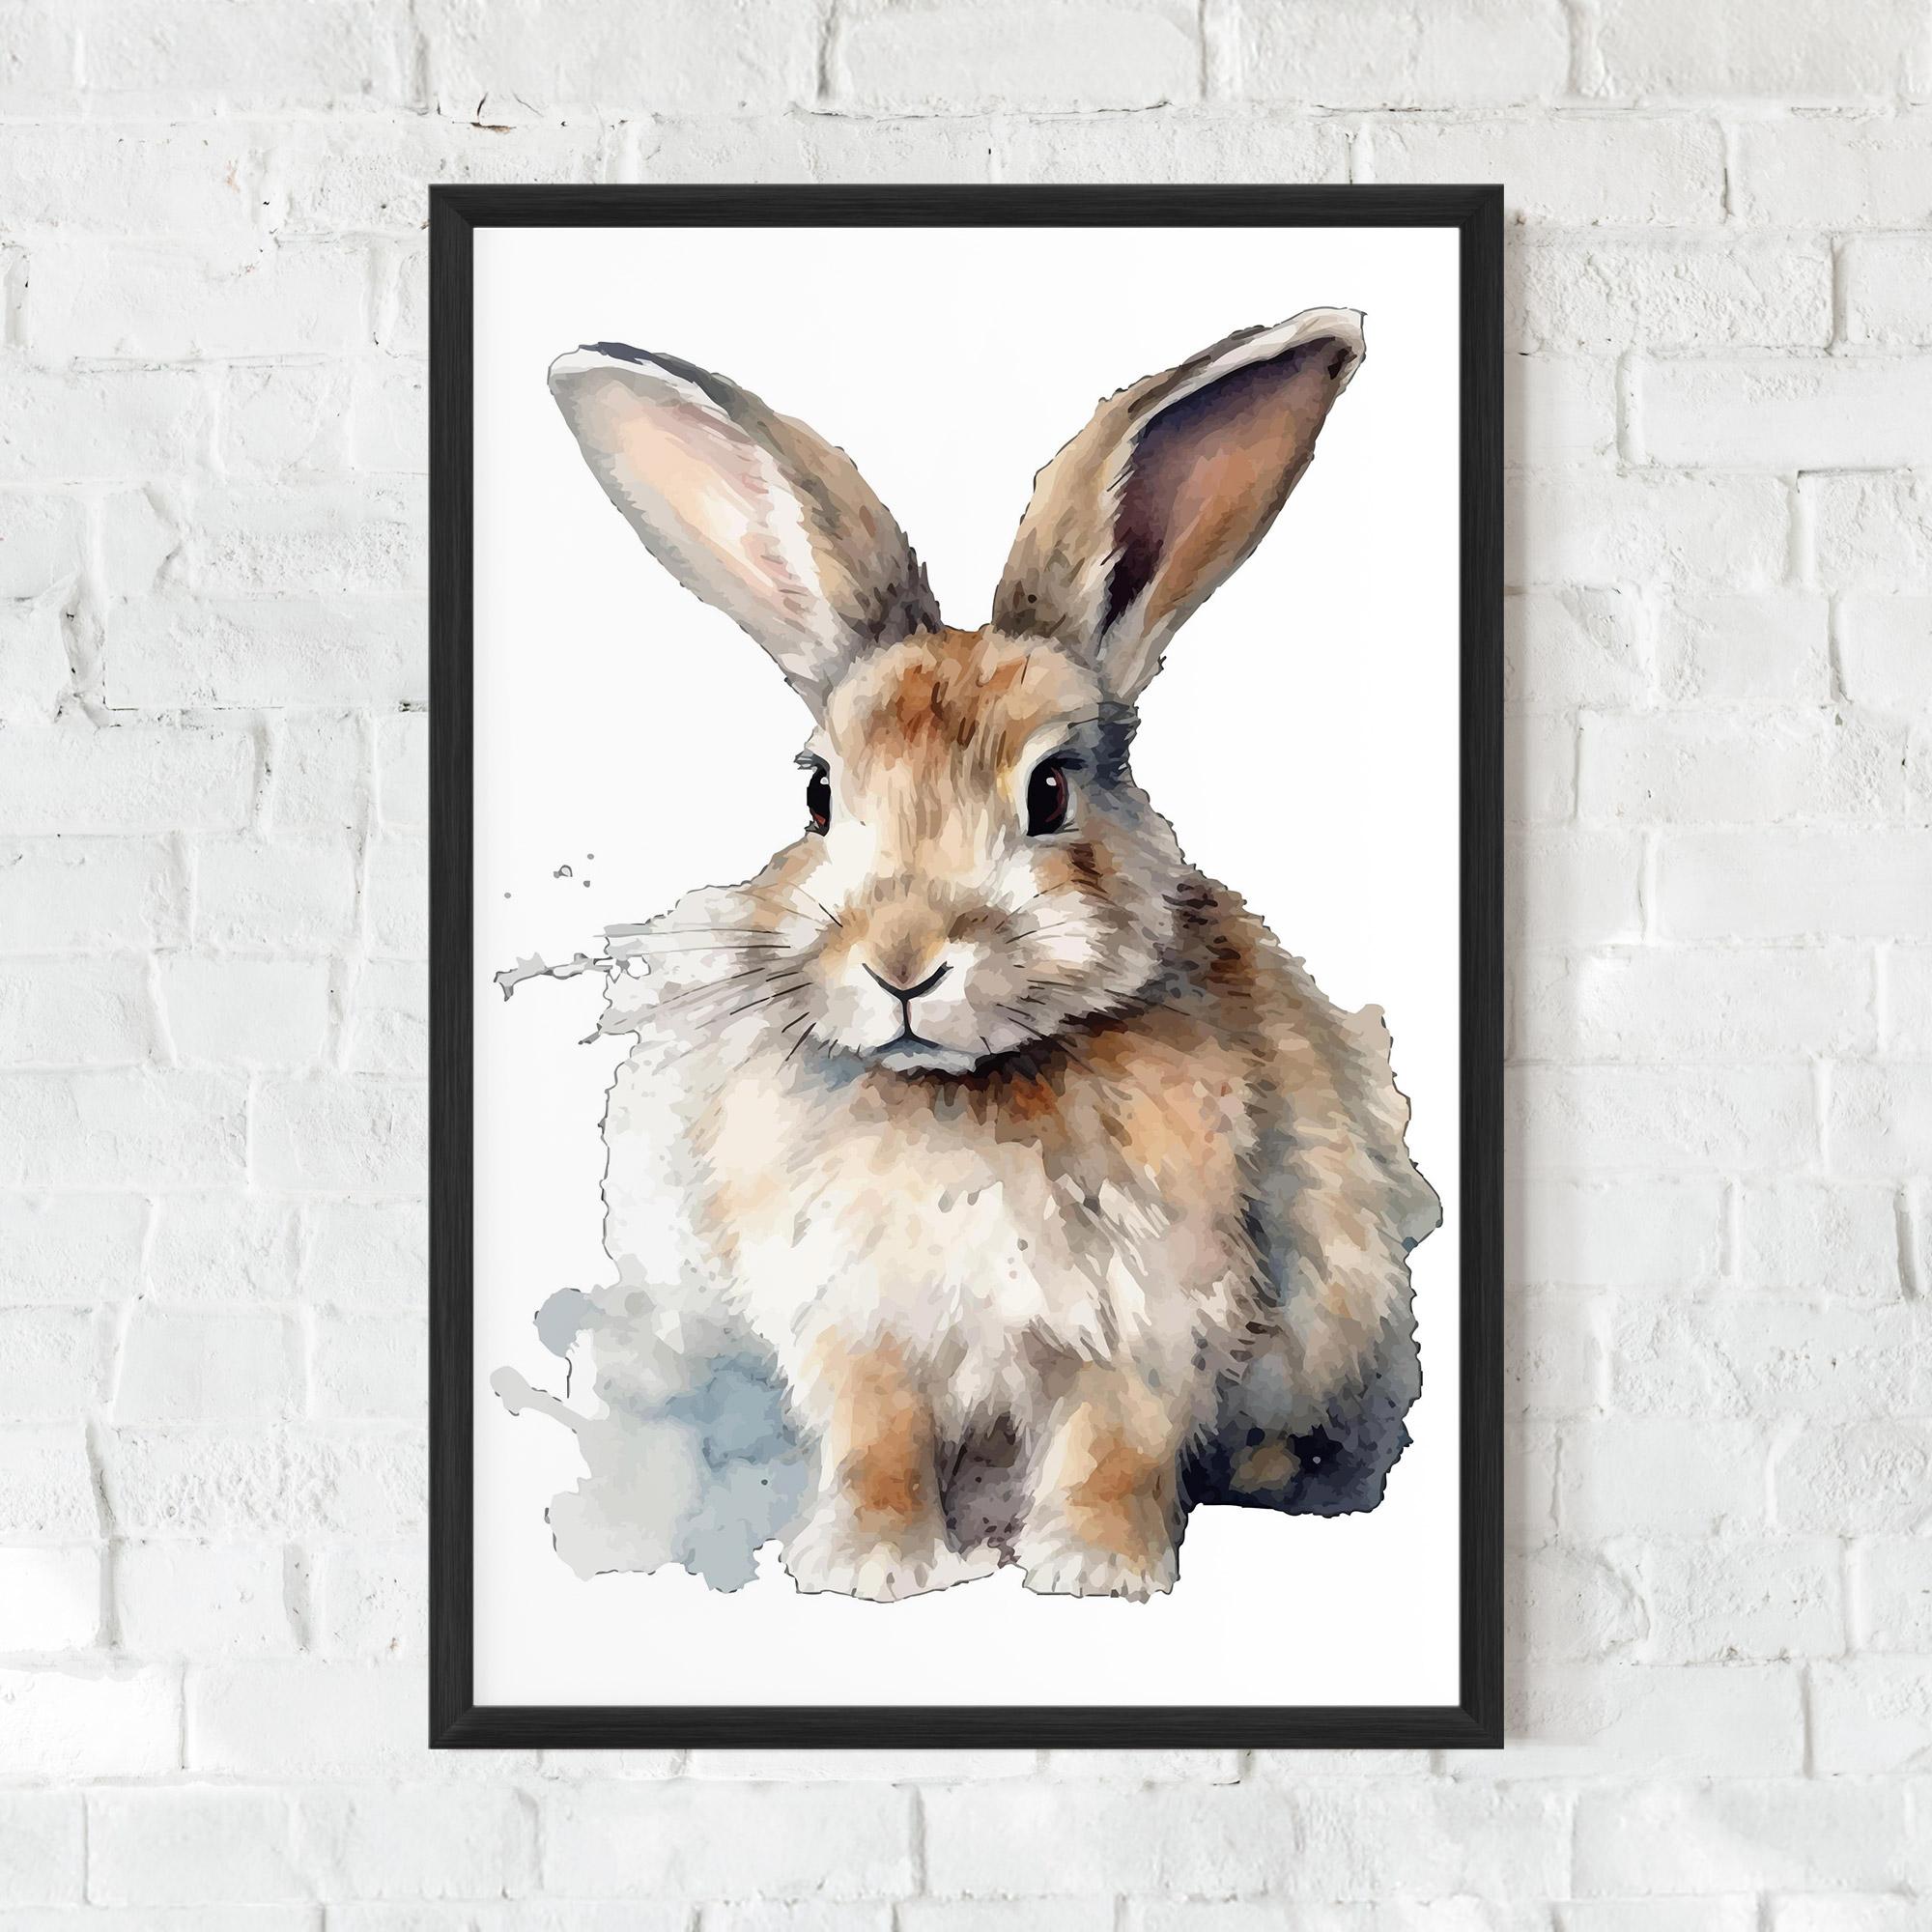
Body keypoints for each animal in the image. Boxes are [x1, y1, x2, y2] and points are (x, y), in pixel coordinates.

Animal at [546, 309, 1441, 1602]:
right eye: (819, 795)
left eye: (1051, 789)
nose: (903, 961)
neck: (960, 1090)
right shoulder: (860, 1327)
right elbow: (877, 1441)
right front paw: (867, 1567)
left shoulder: (1149, 1319)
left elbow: (1112, 1444)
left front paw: (1097, 1573)